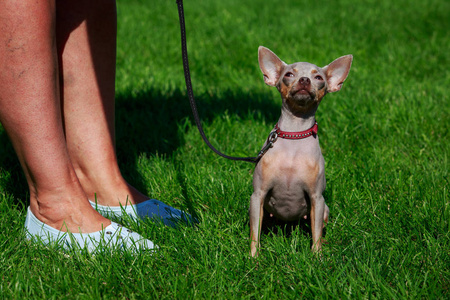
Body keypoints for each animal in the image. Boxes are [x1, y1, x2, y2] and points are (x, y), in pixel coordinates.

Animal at [250, 46, 352, 255]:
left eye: (318, 77)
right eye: (289, 74)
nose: (304, 80)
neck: (294, 135)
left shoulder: (316, 199)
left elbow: (316, 234)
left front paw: (317, 256)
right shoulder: (257, 196)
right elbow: (255, 235)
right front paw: (253, 258)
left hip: (324, 210)